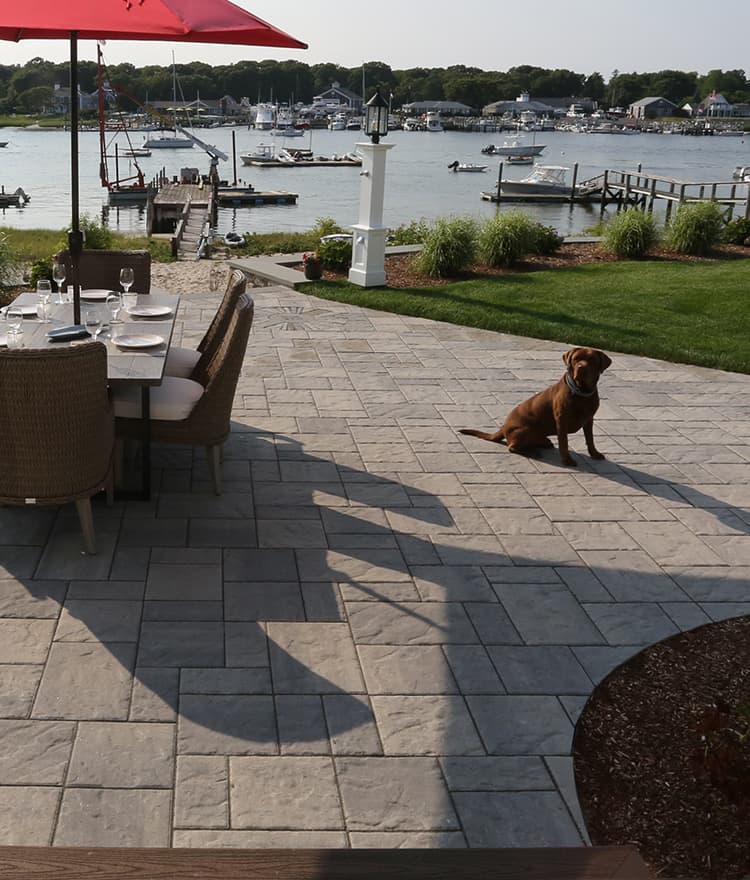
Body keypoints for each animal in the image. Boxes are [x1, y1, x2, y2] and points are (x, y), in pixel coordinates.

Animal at [462, 348, 612, 468]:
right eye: (576, 359)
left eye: (592, 360)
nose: (582, 367)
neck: (581, 392)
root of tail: (503, 428)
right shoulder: (562, 421)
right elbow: (564, 443)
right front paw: (567, 460)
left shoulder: (589, 419)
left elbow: (590, 439)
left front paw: (594, 454)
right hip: (526, 429)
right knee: (512, 447)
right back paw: (532, 451)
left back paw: (542, 443)